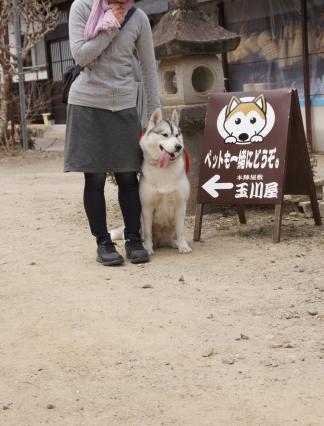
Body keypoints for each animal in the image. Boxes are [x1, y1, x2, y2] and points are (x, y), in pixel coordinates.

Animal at [140, 108, 191, 255]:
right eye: (165, 135)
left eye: (177, 135)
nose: (178, 147)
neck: (163, 168)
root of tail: (160, 242)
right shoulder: (146, 208)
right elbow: (148, 233)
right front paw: (148, 248)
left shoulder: (181, 206)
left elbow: (181, 231)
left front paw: (183, 246)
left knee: (171, 237)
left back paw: (174, 243)